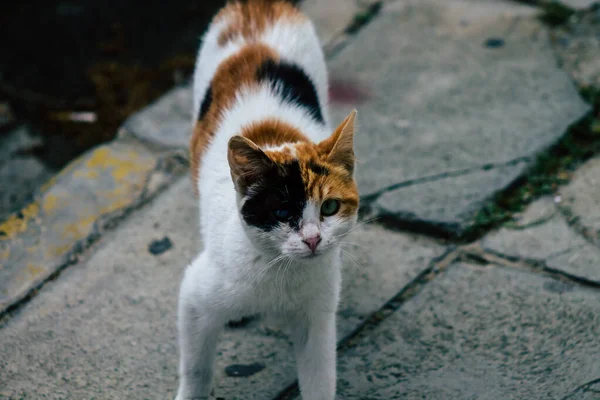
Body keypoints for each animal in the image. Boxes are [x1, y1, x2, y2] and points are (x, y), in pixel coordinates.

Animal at [176, 1, 358, 398]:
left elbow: (319, 379)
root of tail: (257, 7)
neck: (282, 269)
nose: (313, 239)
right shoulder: (195, 295)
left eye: (330, 208)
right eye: (282, 211)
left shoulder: (316, 317)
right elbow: (196, 369)